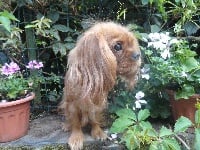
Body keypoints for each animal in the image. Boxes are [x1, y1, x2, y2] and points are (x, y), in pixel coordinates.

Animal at [59, 21, 141, 149]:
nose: (138, 55)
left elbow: (94, 119)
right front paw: (76, 138)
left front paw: (98, 132)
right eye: (117, 46)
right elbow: (76, 122)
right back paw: (67, 125)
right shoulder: (72, 105)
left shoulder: (98, 104)